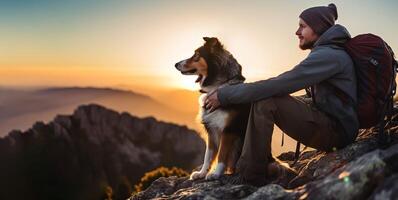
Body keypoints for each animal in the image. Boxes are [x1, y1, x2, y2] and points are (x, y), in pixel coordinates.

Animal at [173, 37, 249, 180]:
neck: (217, 86)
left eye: (196, 55)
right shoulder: (211, 129)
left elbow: (222, 153)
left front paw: (216, 174)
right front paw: (202, 173)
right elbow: (208, 155)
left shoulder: (228, 130)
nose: (175, 64)